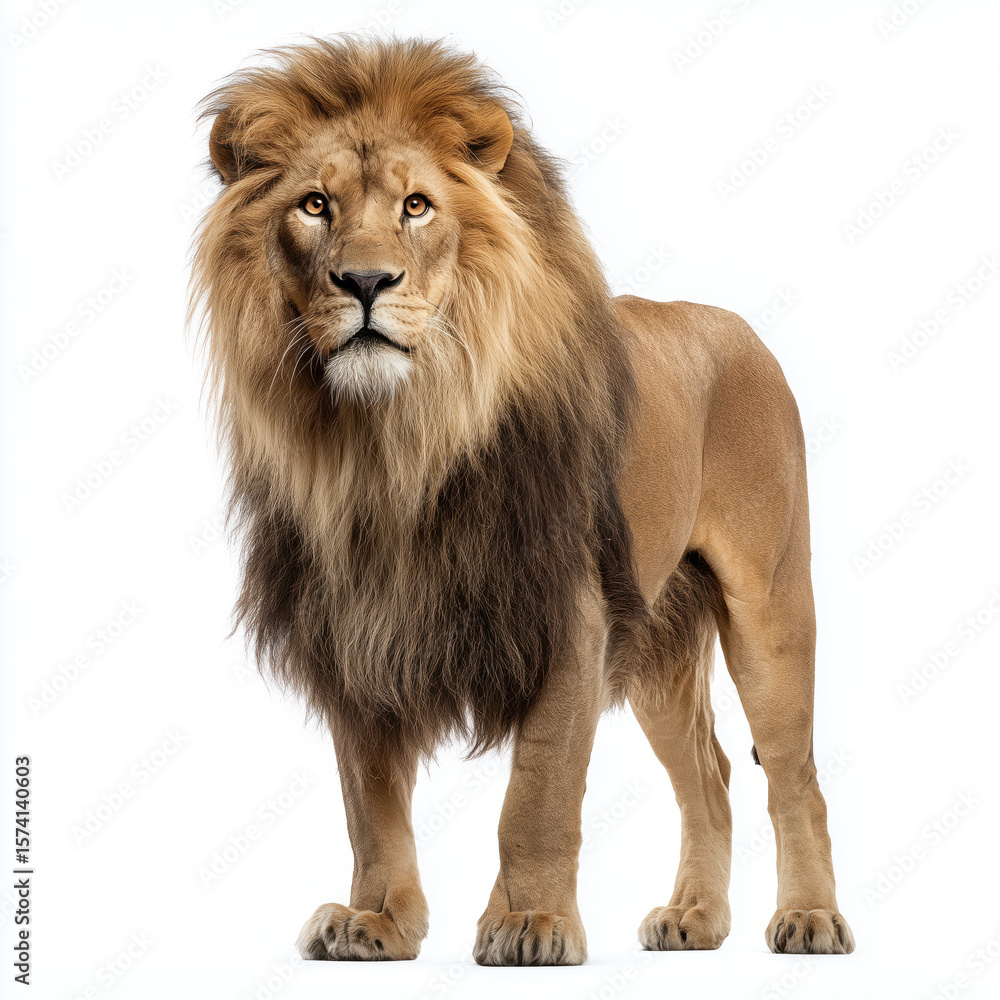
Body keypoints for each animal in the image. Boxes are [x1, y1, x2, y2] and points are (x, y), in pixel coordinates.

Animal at [191, 36, 855, 964]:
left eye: (418, 206)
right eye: (315, 205)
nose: (365, 281)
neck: (392, 445)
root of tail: (736, 325)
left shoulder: (566, 613)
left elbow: (536, 795)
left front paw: (531, 924)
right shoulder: (355, 627)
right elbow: (370, 805)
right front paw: (377, 921)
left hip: (770, 604)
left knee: (795, 775)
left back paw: (811, 919)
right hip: (657, 639)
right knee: (712, 775)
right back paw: (694, 917)